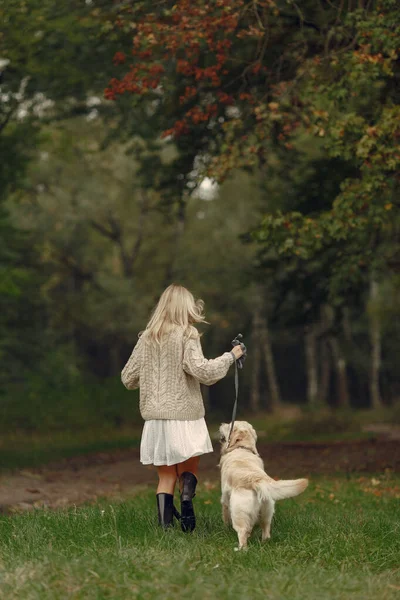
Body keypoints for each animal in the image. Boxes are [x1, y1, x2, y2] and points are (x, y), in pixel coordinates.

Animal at [219, 420, 310, 552]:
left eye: (229, 425)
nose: (221, 424)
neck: (242, 448)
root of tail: (257, 480)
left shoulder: (225, 499)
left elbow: (225, 516)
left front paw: (225, 529)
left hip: (239, 513)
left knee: (242, 533)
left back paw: (240, 549)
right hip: (267, 510)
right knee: (266, 530)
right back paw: (264, 543)